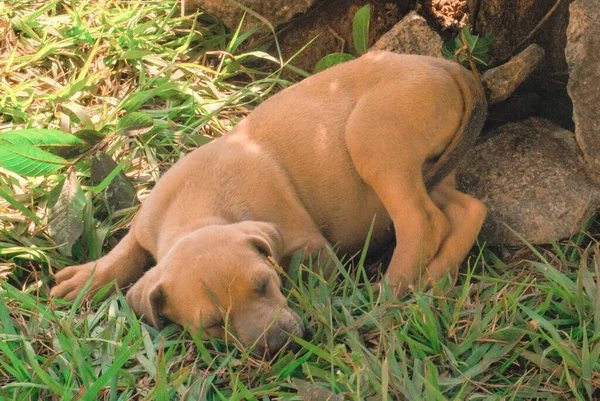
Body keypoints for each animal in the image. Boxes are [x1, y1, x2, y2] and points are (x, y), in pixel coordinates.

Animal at [51, 51, 488, 354]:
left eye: (264, 285)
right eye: (214, 325)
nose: (280, 344)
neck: (199, 208)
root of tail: (445, 66)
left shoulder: (311, 245)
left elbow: (305, 272)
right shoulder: (147, 222)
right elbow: (125, 251)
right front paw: (87, 279)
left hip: (373, 138)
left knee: (423, 221)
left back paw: (390, 293)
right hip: (428, 167)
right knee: (467, 211)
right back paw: (434, 281)